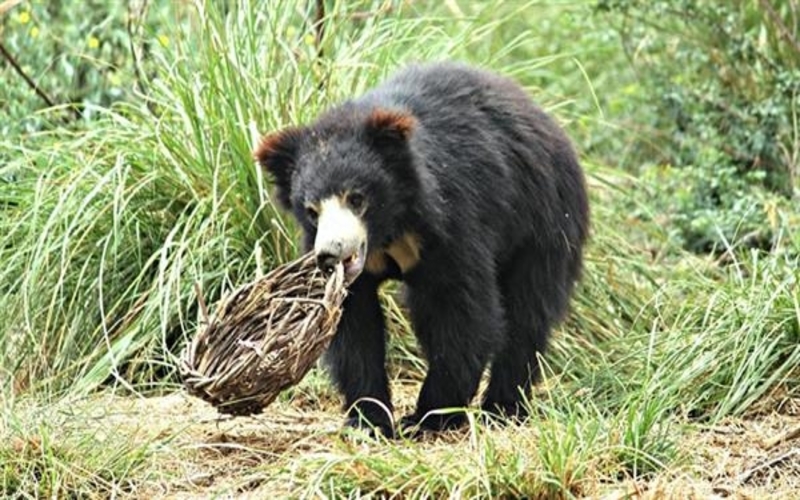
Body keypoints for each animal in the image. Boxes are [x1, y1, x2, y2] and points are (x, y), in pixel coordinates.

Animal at [255, 61, 588, 438]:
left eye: (356, 198)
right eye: (312, 209)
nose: (330, 255)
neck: (390, 228)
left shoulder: (453, 221)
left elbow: (463, 311)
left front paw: (428, 418)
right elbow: (353, 324)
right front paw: (368, 420)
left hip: (543, 222)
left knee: (527, 313)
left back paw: (503, 408)